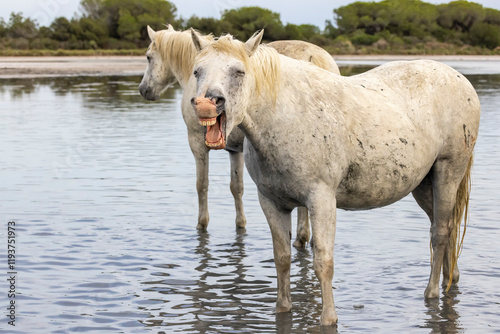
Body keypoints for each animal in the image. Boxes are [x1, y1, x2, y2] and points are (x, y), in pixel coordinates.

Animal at [137, 24, 340, 247]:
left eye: (148, 57)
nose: (144, 90)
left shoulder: (197, 144)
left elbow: (202, 185)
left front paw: (202, 225)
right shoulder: (235, 151)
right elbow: (237, 187)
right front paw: (240, 225)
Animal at [189, 31, 478, 326]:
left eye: (239, 71)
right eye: (197, 71)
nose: (206, 105)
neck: (285, 115)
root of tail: (459, 78)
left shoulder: (321, 200)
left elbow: (323, 262)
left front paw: (329, 318)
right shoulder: (271, 202)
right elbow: (282, 258)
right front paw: (283, 309)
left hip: (448, 172)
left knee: (440, 232)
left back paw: (431, 291)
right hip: (424, 184)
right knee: (448, 226)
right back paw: (450, 279)